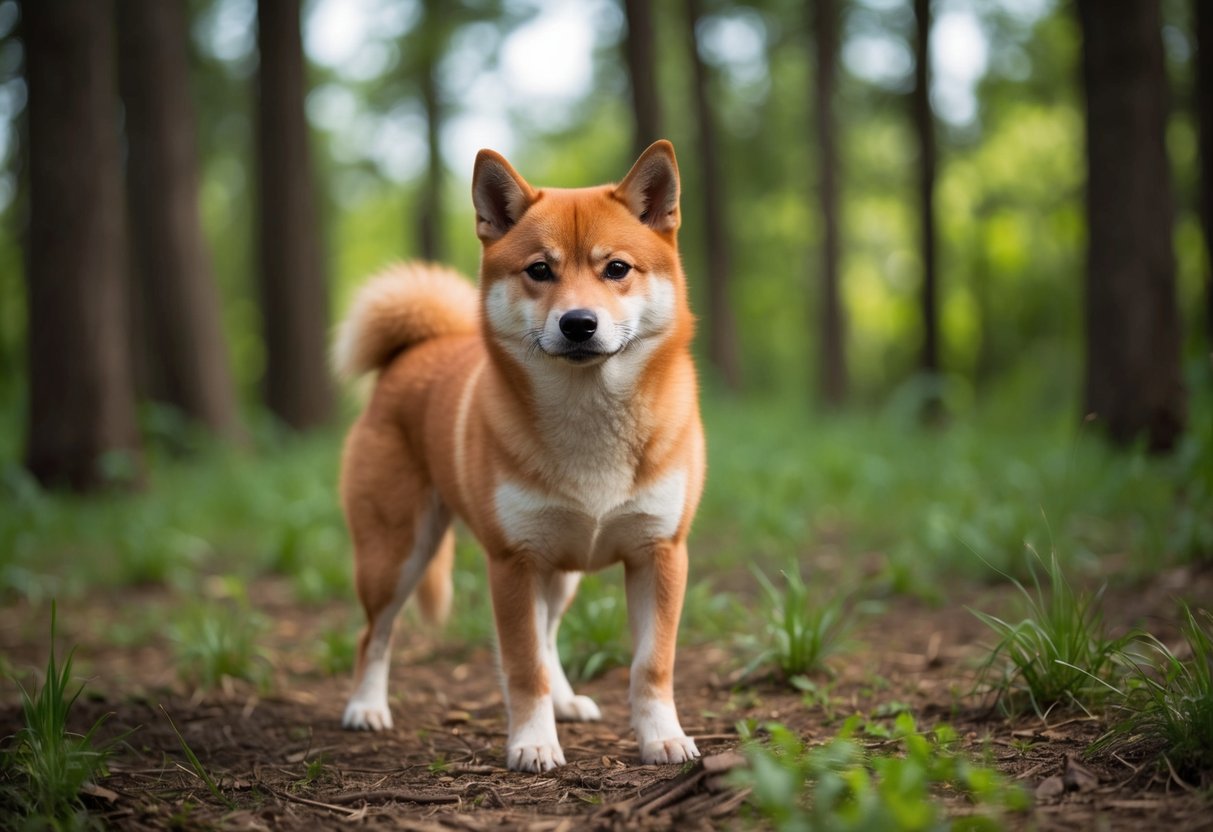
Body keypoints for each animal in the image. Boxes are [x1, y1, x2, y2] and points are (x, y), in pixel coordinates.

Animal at [332, 140, 704, 773]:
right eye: (539, 270)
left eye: (617, 269)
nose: (578, 323)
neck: (589, 424)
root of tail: (418, 349)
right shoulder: (513, 562)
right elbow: (523, 665)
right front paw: (532, 741)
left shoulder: (661, 554)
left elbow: (651, 666)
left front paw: (662, 737)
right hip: (396, 554)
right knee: (373, 635)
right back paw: (366, 706)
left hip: (560, 569)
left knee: (549, 635)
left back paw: (567, 700)